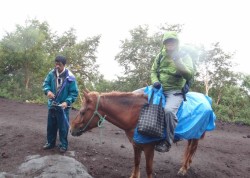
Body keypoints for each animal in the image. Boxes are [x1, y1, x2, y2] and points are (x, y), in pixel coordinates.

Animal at [70, 91, 203, 177]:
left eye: (82, 112)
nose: (71, 129)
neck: (137, 115)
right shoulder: (136, 144)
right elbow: (136, 162)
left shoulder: (149, 148)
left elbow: (148, 169)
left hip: (196, 136)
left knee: (192, 150)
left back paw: (184, 169)